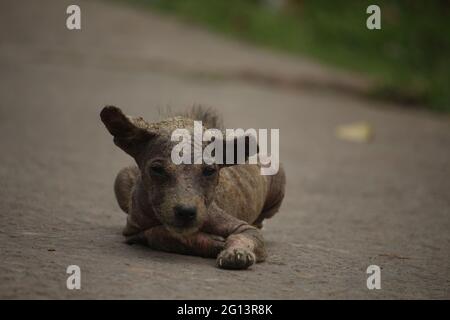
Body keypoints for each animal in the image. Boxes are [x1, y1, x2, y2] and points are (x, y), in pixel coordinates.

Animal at [101, 106, 284, 268]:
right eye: (157, 169)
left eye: (210, 171)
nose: (186, 211)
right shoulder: (132, 231)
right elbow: (162, 233)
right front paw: (212, 243)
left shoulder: (246, 229)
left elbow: (245, 236)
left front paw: (236, 253)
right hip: (122, 176)